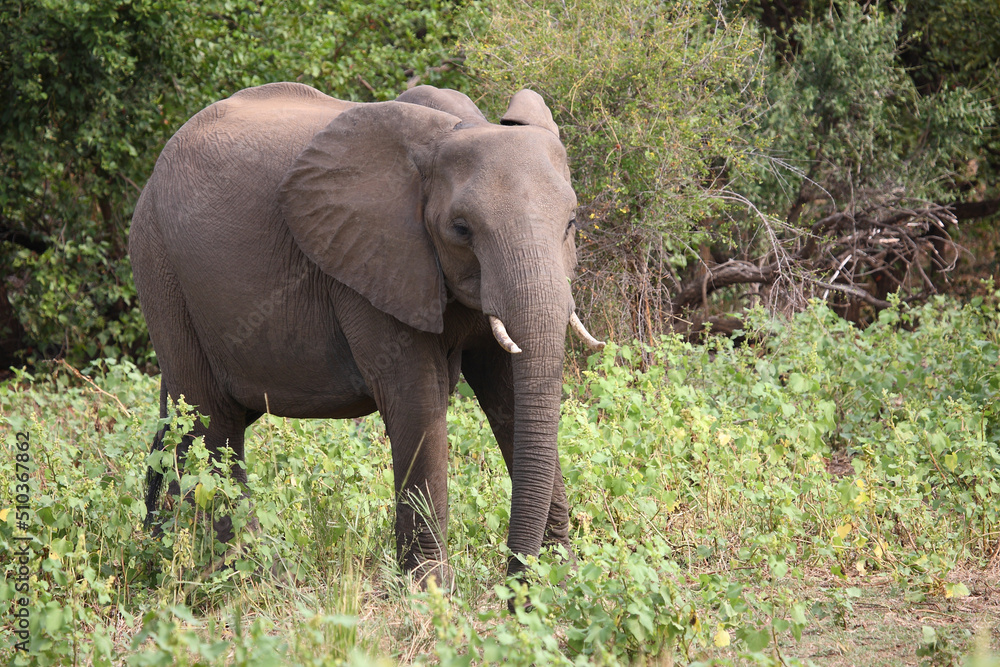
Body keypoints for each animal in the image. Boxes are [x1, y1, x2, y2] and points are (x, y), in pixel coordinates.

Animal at [129, 81, 604, 588]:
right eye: (461, 229)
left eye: (572, 223)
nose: (510, 583)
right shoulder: (369, 264)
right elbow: (417, 402)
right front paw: (433, 592)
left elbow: (511, 397)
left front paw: (561, 585)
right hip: (161, 268)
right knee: (209, 422)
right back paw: (253, 574)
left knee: (203, 423)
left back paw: (166, 550)